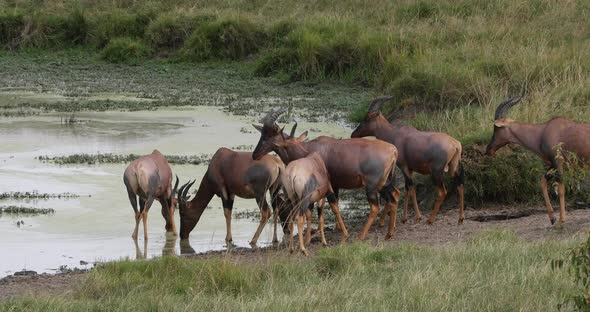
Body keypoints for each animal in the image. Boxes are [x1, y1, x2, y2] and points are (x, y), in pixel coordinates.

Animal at [253, 108, 402, 240]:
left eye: (269, 136)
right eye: (262, 134)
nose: (255, 155)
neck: (311, 150)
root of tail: (393, 150)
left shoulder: (325, 184)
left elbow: (330, 206)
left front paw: (342, 233)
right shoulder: (332, 185)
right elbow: (325, 206)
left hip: (372, 186)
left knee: (375, 207)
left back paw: (361, 236)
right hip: (384, 183)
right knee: (394, 196)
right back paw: (389, 232)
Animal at [352, 96, 468, 225]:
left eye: (367, 118)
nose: (353, 134)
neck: (395, 134)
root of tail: (455, 144)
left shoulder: (404, 167)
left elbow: (410, 188)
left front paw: (415, 217)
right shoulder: (410, 169)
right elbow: (408, 189)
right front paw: (406, 217)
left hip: (436, 172)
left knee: (442, 192)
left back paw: (430, 219)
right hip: (454, 167)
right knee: (460, 184)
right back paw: (461, 218)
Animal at [486, 95, 590, 224]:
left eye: (496, 128)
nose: (488, 150)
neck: (544, 130)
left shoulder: (558, 163)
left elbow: (561, 189)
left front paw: (561, 220)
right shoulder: (552, 165)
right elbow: (542, 182)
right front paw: (552, 218)